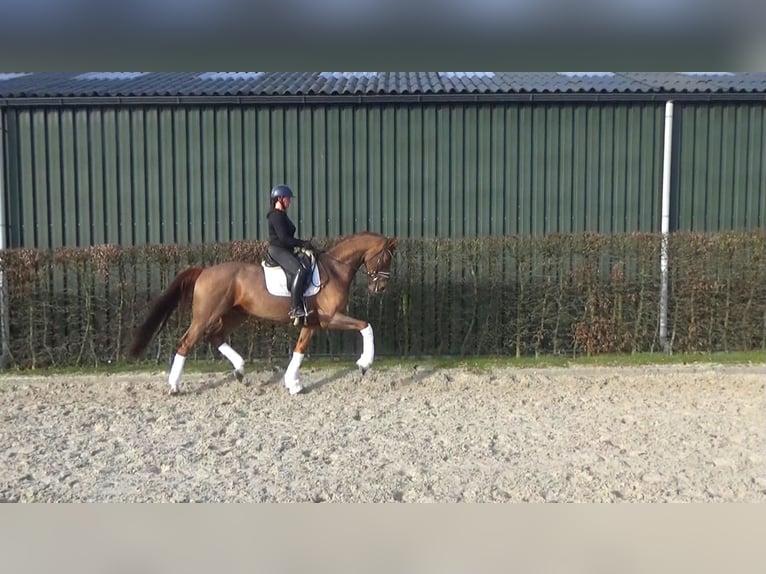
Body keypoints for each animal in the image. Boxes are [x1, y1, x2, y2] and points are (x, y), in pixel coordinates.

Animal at [127, 232, 397, 395]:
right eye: (386, 258)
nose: (381, 287)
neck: (334, 270)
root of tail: (204, 271)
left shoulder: (312, 322)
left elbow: (299, 350)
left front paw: (293, 384)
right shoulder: (330, 318)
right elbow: (366, 326)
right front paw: (364, 363)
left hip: (236, 314)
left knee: (215, 337)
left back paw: (239, 370)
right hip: (205, 316)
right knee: (186, 343)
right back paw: (174, 386)